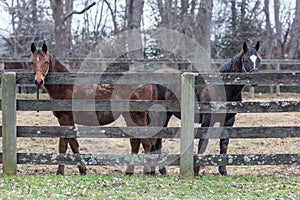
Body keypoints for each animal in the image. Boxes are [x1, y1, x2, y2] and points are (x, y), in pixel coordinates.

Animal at [29, 42, 158, 175]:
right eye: (31, 62)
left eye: (46, 62)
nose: (38, 81)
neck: (65, 86)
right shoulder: (65, 121)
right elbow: (71, 144)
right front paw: (81, 169)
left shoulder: (65, 119)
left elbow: (66, 144)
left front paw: (63, 170)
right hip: (130, 117)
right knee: (135, 142)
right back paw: (129, 172)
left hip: (138, 116)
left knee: (146, 142)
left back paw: (147, 171)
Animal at [152, 41, 260, 176]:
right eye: (246, 60)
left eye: (259, 60)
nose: (255, 80)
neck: (223, 88)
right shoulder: (207, 121)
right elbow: (203, 143)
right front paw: (196, 171)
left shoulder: (229, 121)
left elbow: (224, 143)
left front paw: (223, 171)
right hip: (163, 114)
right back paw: (161, 170)